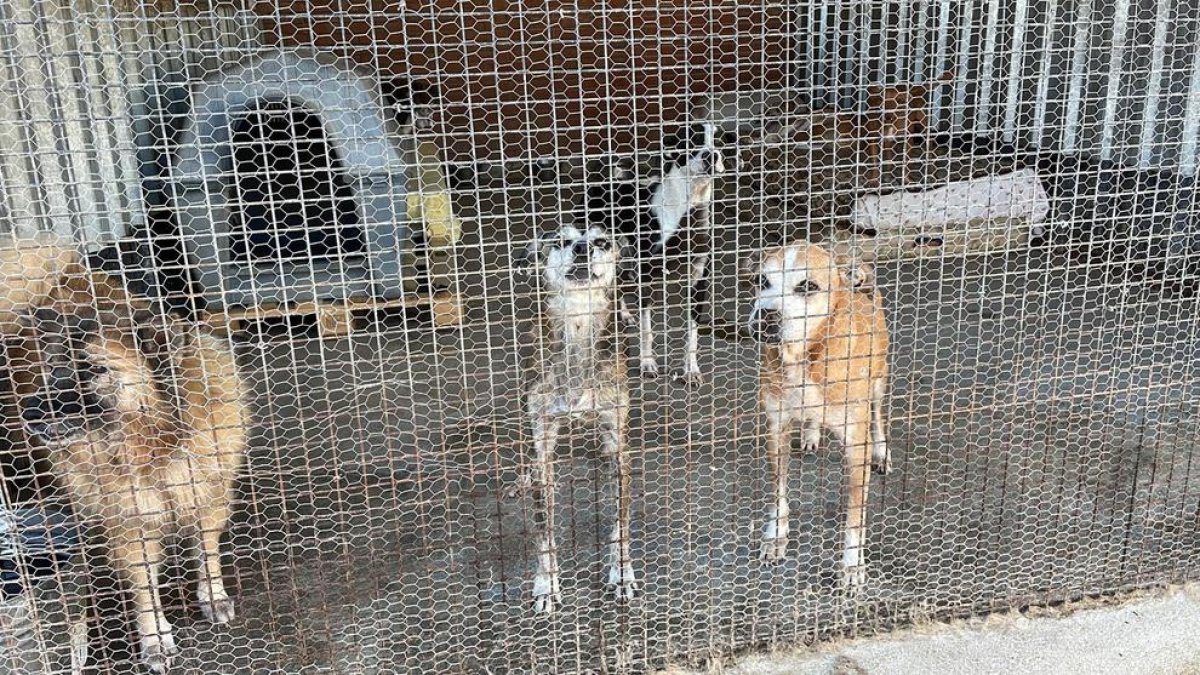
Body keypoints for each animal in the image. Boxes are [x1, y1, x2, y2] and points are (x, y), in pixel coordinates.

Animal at [748, 240, 892, 583]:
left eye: (807, 286)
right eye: (762, 281)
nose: (765, 315)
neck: (805, 357)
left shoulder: (856, 446)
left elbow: (855, 516)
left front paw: (852, 564)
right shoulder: (776, 428)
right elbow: (778, 491)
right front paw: (776, 536)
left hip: (879, 381)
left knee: (878, 415)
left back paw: (882, 451)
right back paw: (812, 432)